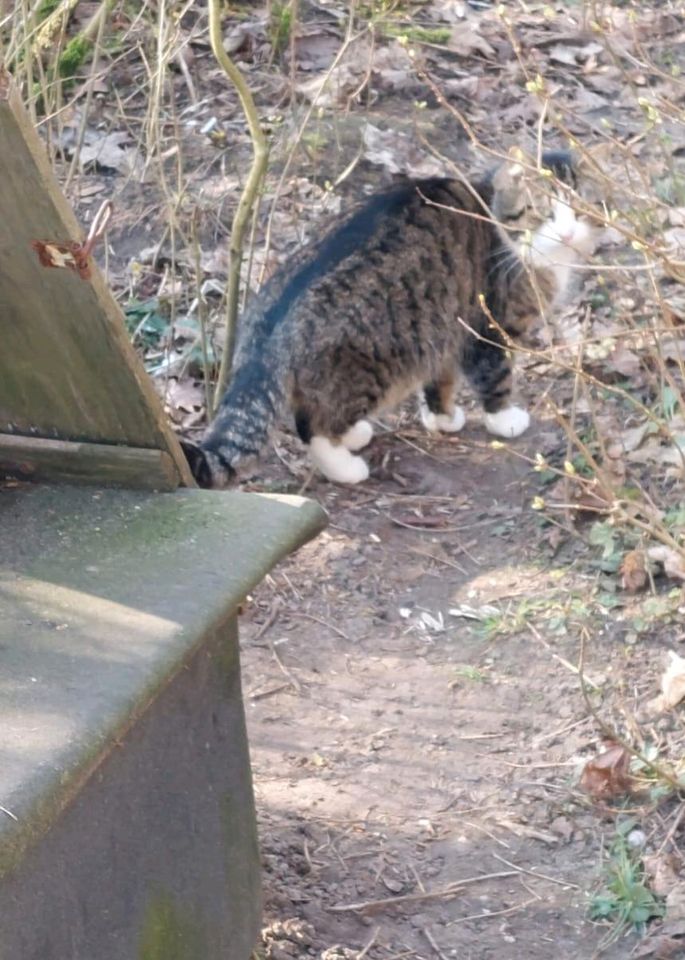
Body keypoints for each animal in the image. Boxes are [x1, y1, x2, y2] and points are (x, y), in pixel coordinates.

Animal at [184, 152, 596, 488]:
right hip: (374, 369)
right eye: (542, 211)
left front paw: (441, 418)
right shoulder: (487, 329)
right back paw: (346, 467)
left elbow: (439, 384)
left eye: (582, 209)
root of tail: (267, 325)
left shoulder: (444, 332)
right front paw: (504, 419)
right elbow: (495, 378)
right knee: (314, 428)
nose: (569, 231)